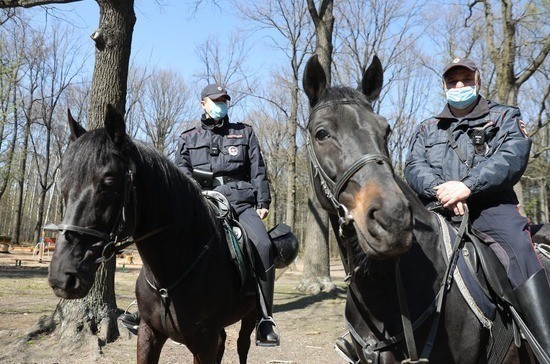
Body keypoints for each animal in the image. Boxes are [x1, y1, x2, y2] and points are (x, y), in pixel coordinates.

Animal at [48, 106, 266, 362]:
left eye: (108, 182)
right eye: (63, 183)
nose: (62, 275)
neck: (169, 277)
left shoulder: (204, 340)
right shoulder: (148, 333)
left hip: (249, 316)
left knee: (243, 346)